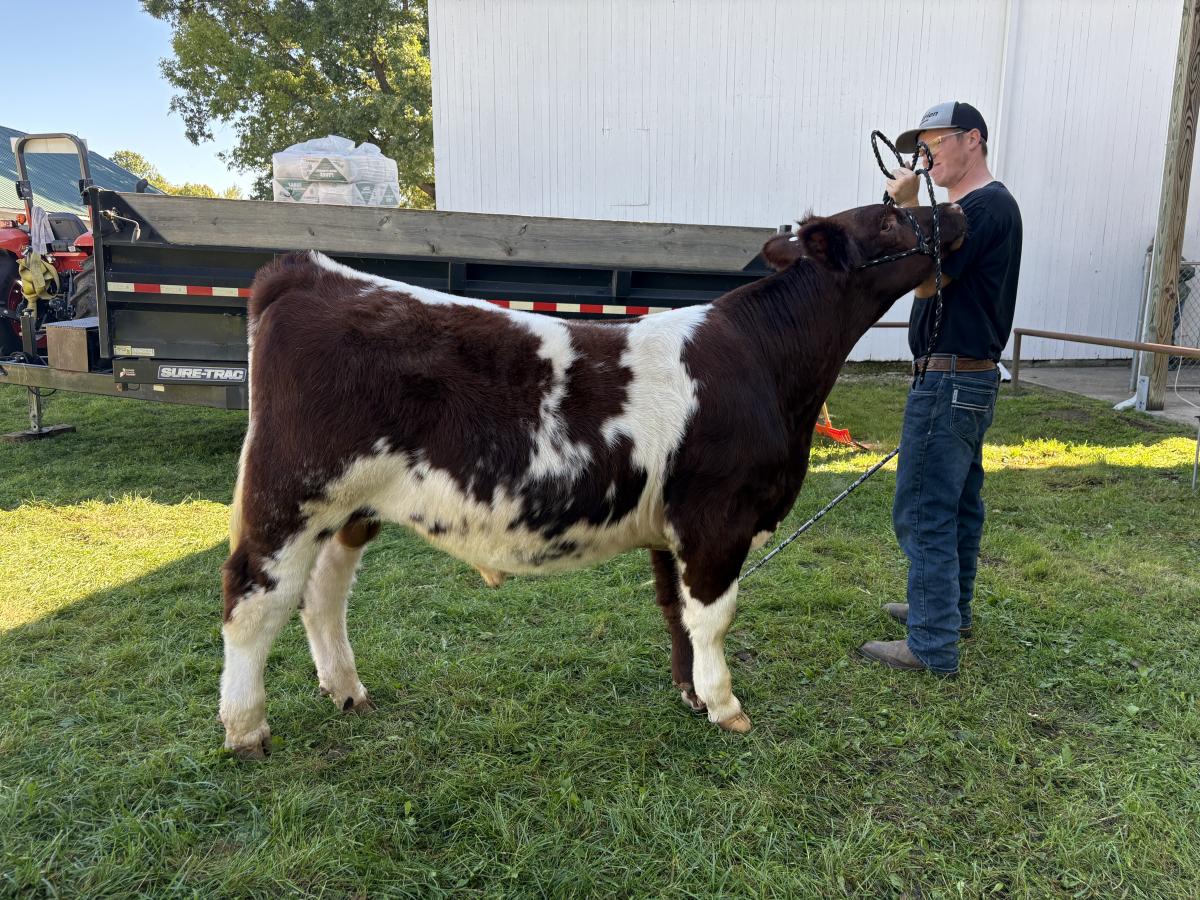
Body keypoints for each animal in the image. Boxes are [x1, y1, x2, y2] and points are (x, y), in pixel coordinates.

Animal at [219, 201, 967, 758]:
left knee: (322, 596)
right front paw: (725, 705)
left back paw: (346, 691)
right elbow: (714, 614)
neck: (769, 363)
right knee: (253, 599)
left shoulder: (672, 526)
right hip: (288, 495)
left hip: (350, 509)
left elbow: (675, 611)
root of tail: (309, 272)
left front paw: (691, 695)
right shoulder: (717, 516)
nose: (959, 210)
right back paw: (246, 728)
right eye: (891, 215)